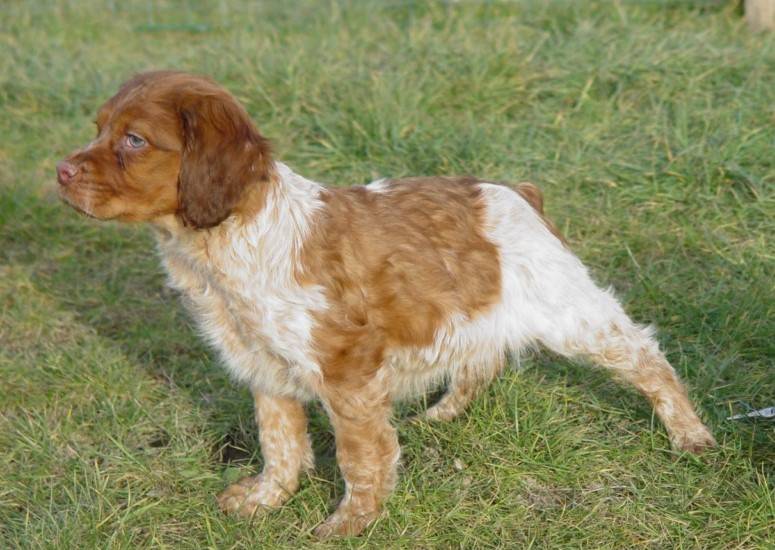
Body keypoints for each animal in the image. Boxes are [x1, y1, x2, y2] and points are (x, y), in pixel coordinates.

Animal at [57, 72, 720, 540]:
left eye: (135, 140)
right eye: (98, 128)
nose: (61, 170)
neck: (227, 243)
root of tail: (516, 191)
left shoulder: (347, 368)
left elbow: (361, 456)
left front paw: (349, 524)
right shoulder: (265, 366)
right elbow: (280, 445)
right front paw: (265, 499)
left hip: (572, 312)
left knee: (648, 358)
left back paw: (693, 439)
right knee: (482, 360)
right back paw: (442, 414)